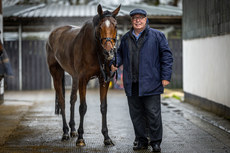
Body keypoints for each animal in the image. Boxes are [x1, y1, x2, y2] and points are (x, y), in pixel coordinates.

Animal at [45, 4, 120, 146]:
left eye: (116, 25)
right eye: (100, 26)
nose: (109, 52)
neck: (95, 49)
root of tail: (53, 33)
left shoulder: (103, 80)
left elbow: (103, 107)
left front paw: (107, 137)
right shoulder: (83, 80)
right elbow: (83, 107)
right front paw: (80, 138)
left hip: (74, 77)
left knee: (72, 99)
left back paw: (72, 130)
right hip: (56, 72)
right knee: (62, 101)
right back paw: (65, 132)